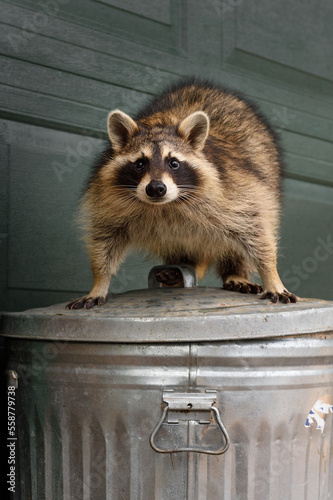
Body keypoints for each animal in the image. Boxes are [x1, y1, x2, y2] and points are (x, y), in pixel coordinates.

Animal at [65, 78, 296, 308]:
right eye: (140, 164)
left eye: (173, 163)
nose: (156, 188)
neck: (165, 205)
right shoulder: (107, 199)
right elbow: (104, 240)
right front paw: (99, 281)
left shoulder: (235, 188)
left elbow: (255, 229)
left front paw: (271, 275)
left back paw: (235, 272)